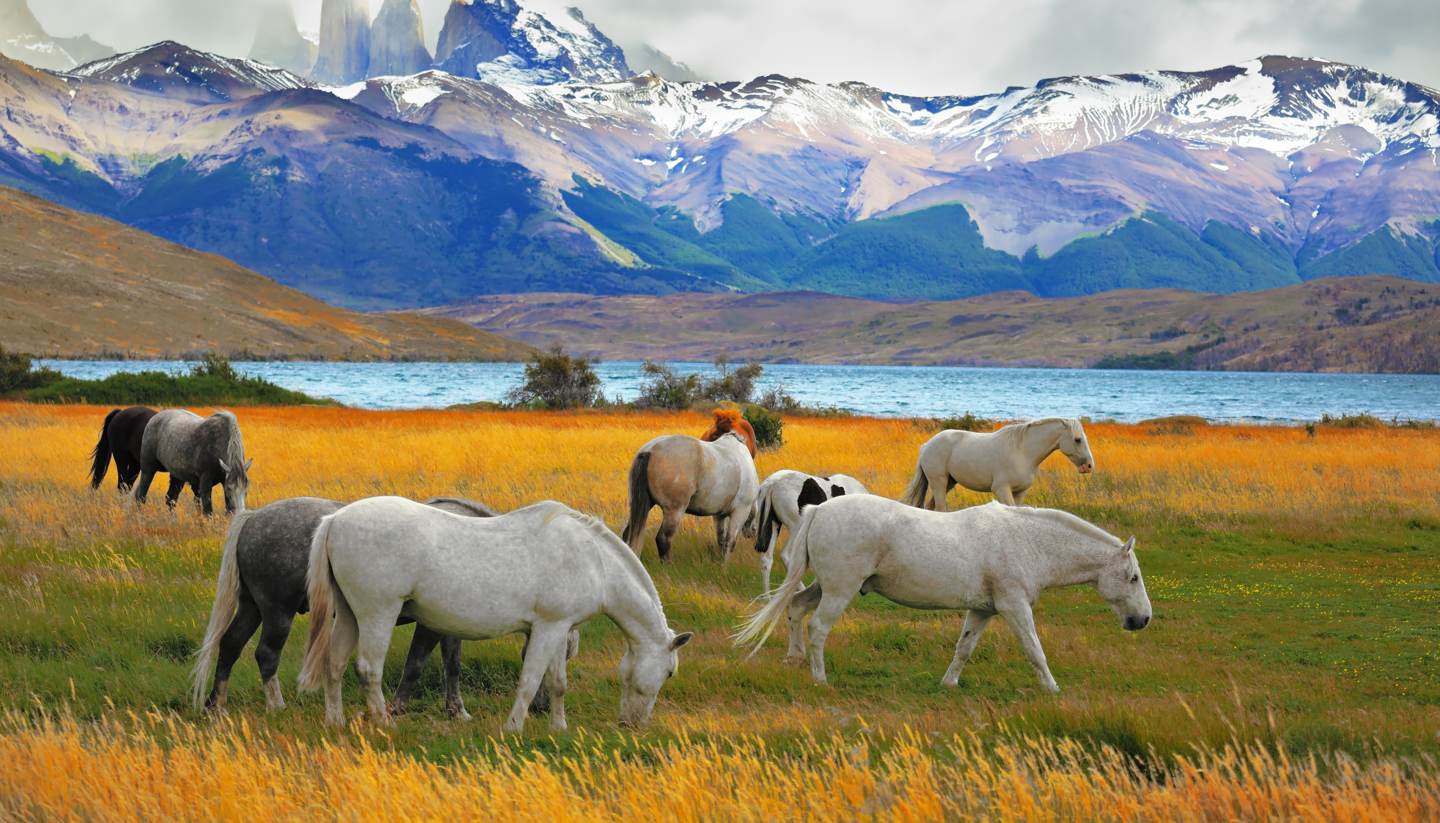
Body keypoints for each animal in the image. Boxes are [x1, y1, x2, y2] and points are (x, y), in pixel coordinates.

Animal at [188, 492, 576, 716]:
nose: (542, 706)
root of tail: (253, 518)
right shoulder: (431, 625)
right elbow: (415, 664)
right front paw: (396, 707)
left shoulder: (454, 624)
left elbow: (452, 666)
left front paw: (456, 710)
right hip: (276, 611)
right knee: (266, 654)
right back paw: (276, 705)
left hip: (252, 606)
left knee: (230, 645)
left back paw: (215, 704)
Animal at [298, 497, 691, 730]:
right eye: (670, 672)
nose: (633, 724)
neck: (594, 559)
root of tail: (335, 519)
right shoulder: (547, 628)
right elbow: (530, 681)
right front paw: (513, 728)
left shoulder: (558, 628)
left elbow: (557, 682)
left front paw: (558, 728)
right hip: (377, 614)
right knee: (368, 669)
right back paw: (384, 723)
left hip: (349, 614)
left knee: (334, 664)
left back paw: (335, 721)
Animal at [627, 408, 771, 564]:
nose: (753, 531)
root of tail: (650, 450)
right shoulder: (740, 512)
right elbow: (729, 543)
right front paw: (725, 566)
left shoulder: (719, 516)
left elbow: (721, 540)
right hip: (674, 511)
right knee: (663, 538)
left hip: (644, 504)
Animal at [737, 494, 1152, 693]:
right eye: (1133, 578)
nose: (1143, 619)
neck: (1026, 540)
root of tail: (819, 510)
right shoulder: (1014, 606)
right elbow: (1035, 650)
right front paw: (1051, 687)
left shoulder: (984, 610)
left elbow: (964, 648)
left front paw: (948, 683)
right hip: (840, 589)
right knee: (819, 628)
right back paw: (820, 677)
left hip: (826, 585)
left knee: (795, 608)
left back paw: (793, 659)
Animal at [898, 417, 1088, 509]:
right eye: (1077, 439)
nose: (1088, 466)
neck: (1022, 452)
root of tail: (926, 446)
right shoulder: (1001, 489)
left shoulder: (1019, 492)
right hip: (939, 482)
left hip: (949, 483)